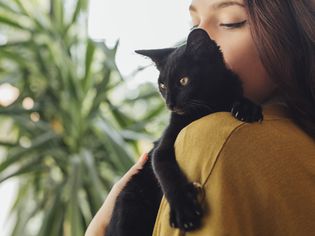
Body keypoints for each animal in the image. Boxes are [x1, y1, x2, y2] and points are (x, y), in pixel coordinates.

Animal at [104, 28, 264, 236]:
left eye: (183, 81)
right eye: (162, 86)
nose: (169, 103)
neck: (207, 106)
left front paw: (247, 107)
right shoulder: (162, 147)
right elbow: (166, 172)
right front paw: (184, 211)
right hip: (129, 204)